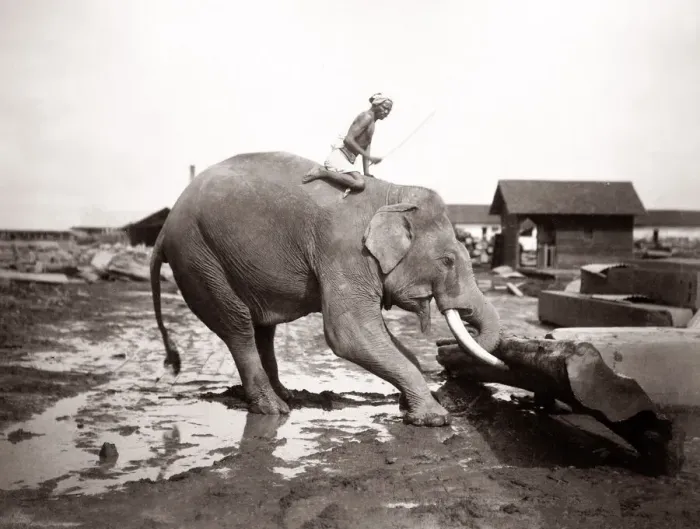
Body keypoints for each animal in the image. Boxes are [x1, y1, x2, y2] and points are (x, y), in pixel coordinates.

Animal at [149, 151, 506, 427]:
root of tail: (163, 229)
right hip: (199, 258)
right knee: (238, 325)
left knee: (263, 328)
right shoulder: (344, 250)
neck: (390, 194)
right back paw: (274, 409)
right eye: (448, 260)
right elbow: (349, 333)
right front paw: (435, 418)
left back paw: (285, 394)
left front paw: (409, 407)